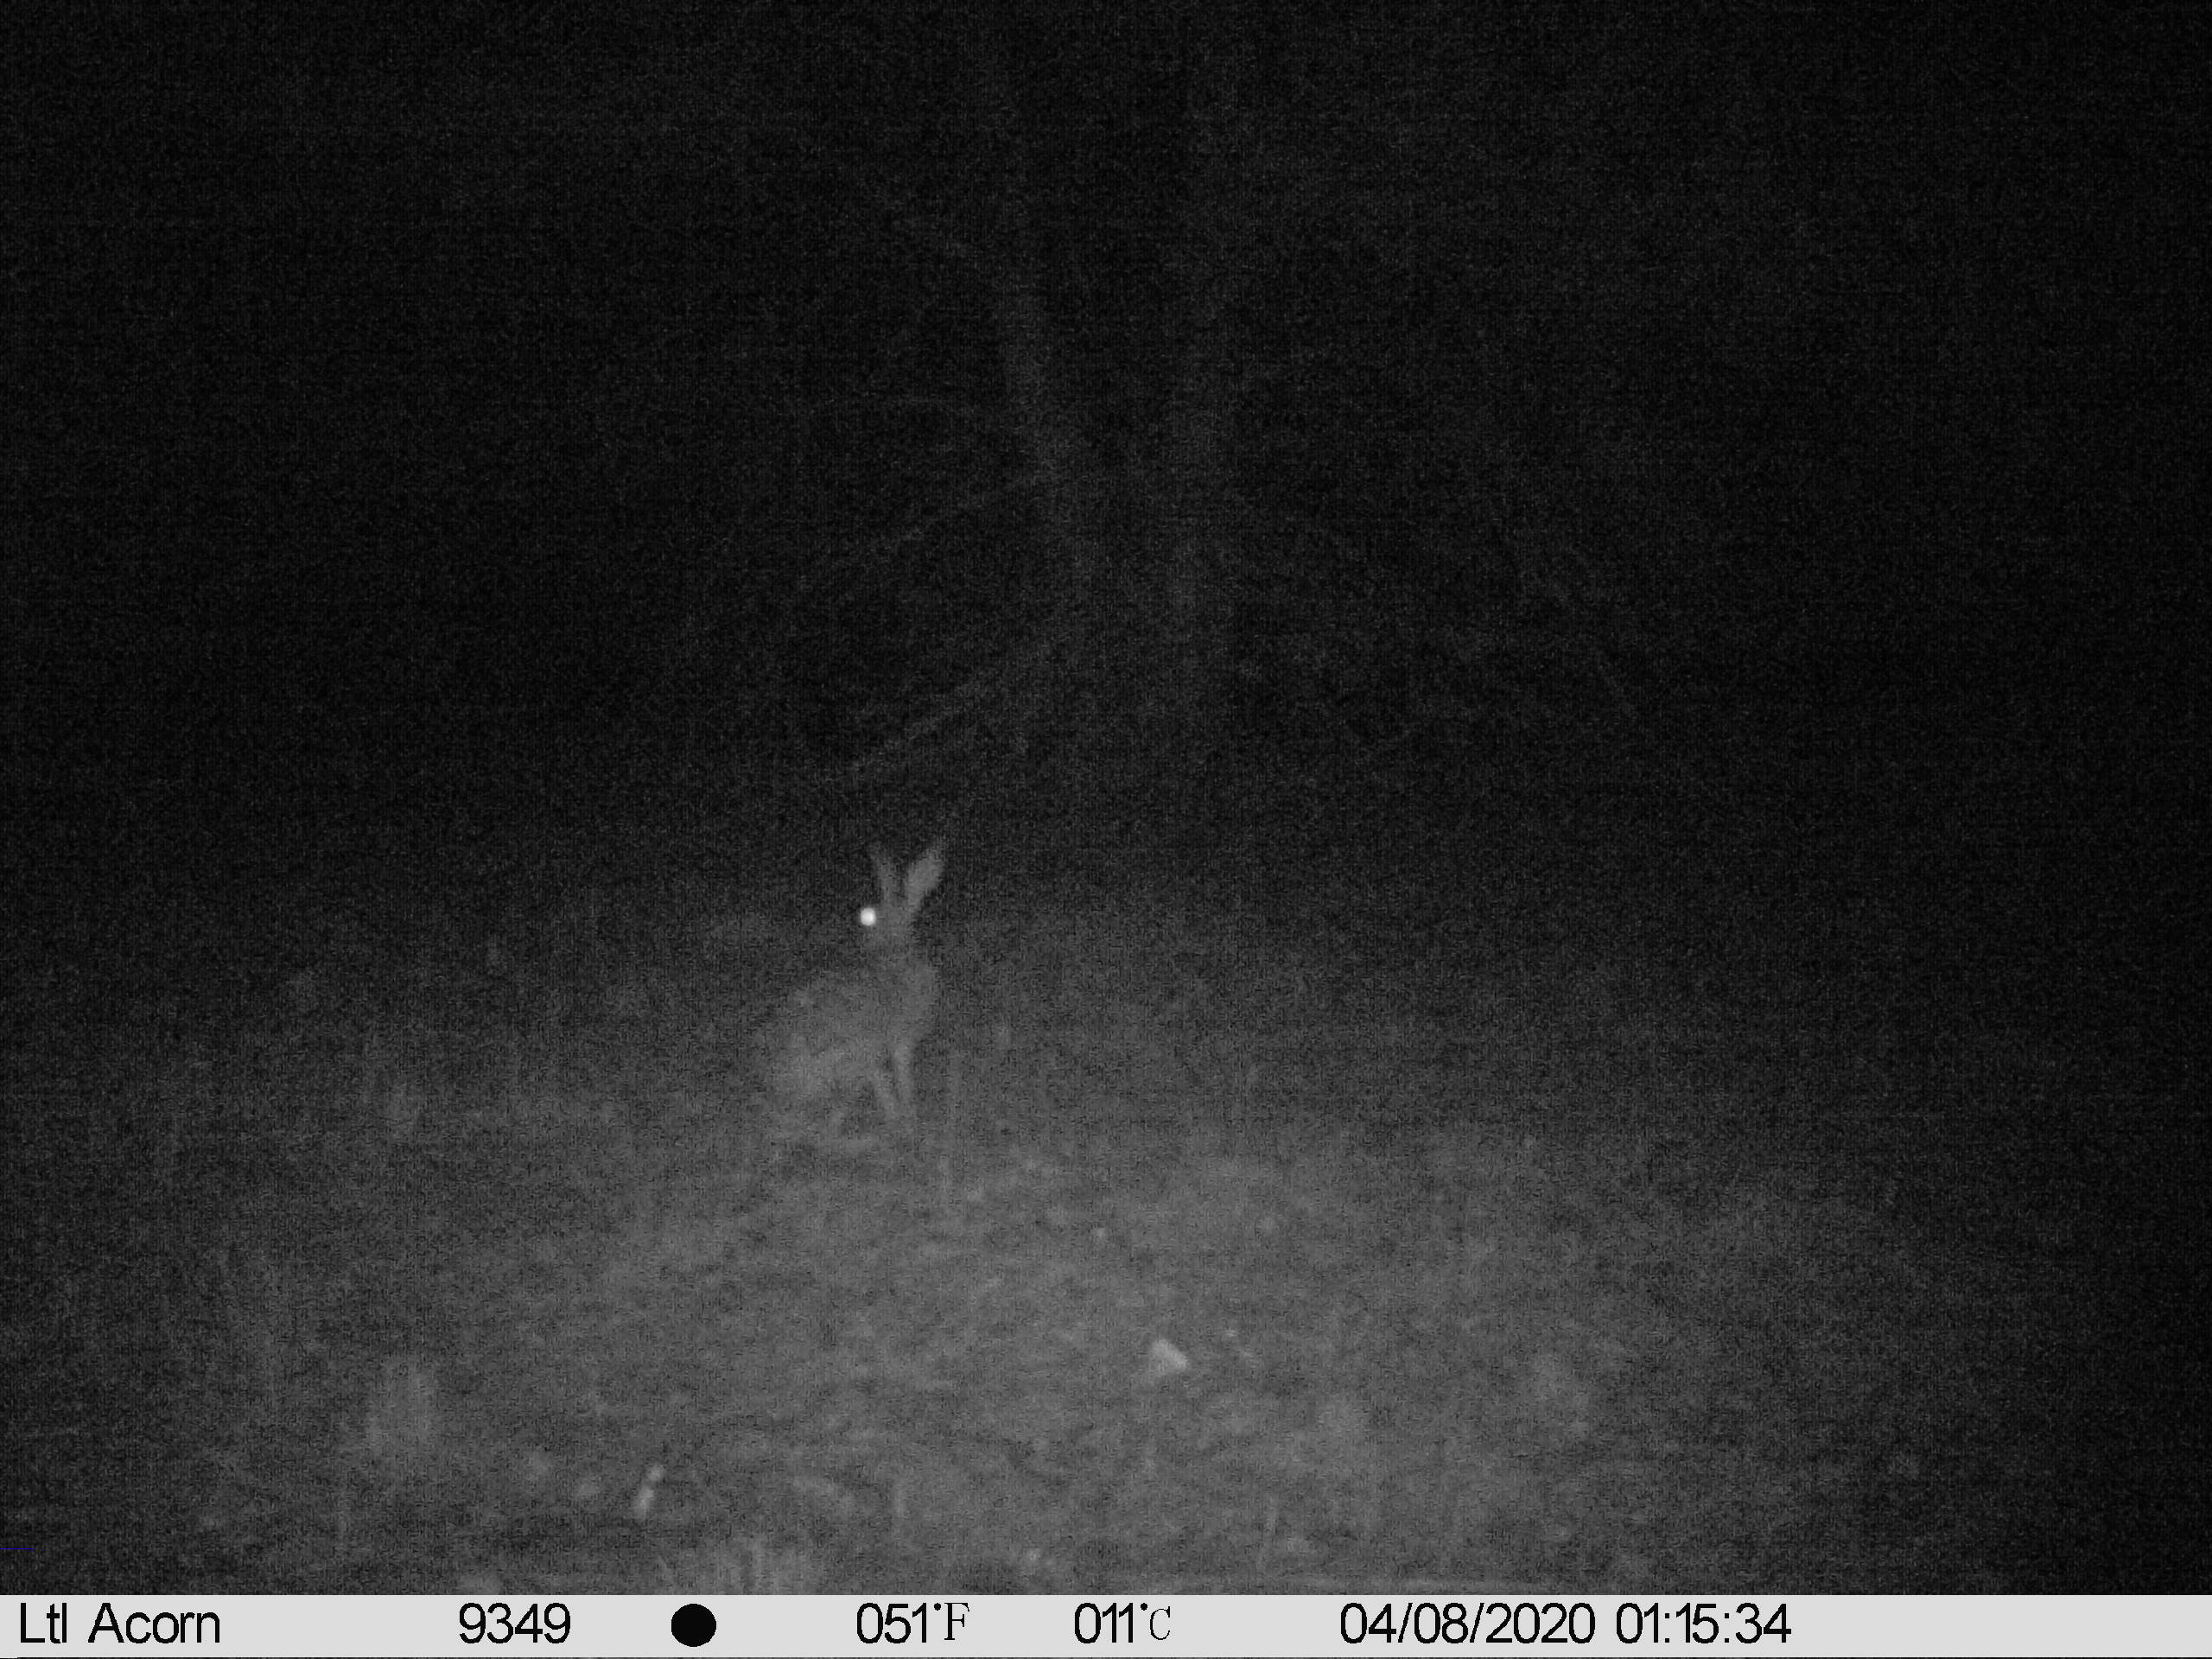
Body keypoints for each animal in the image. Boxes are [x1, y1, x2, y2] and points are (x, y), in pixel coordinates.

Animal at [758, 842, 945, 1139]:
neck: (893, 948)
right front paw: (906, 1115)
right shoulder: (899, 1041)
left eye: (871, 920)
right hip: (849, 1062)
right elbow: (900, 1077)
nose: (863, 939)